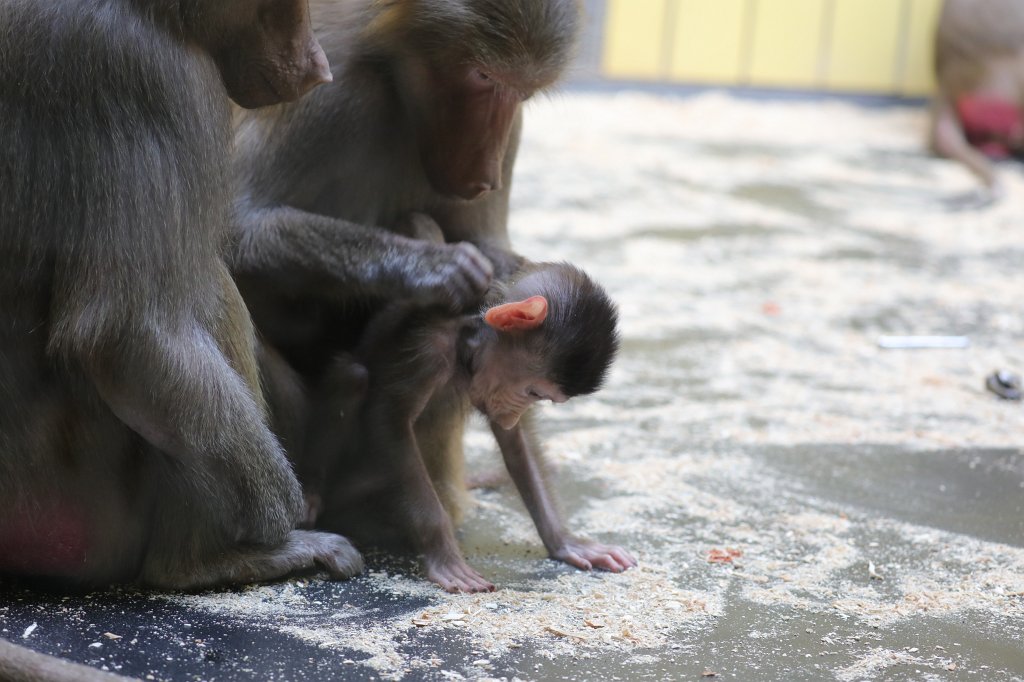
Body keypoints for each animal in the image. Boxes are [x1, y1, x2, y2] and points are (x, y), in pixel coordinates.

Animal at [0, 0, 363, 590]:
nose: (320, 70)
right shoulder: (150, 75)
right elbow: (128, 332)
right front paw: (276, 520)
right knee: (202, 283)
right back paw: (205, 561)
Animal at [301, 240, 637, 593]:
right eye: (534, 393)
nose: (512, 415)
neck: (467, 336)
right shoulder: (429, 350)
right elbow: (389, 419)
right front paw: (444, 555)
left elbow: (516, 444)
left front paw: (565, 541)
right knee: (352, 376)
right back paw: (314, 493)